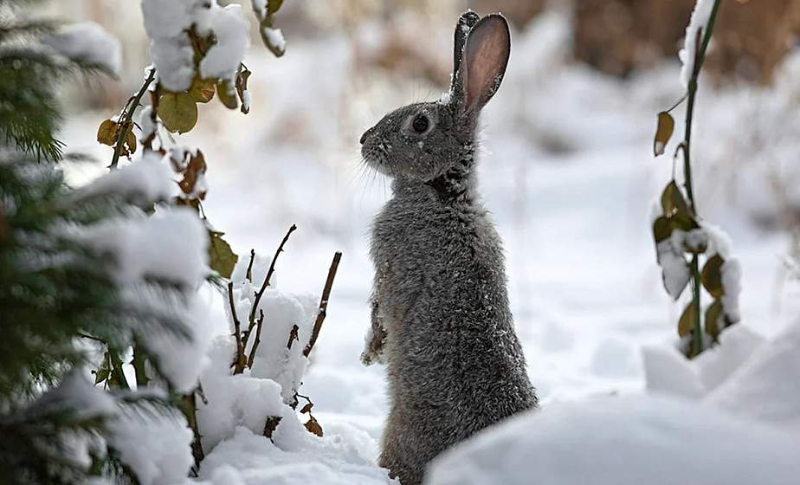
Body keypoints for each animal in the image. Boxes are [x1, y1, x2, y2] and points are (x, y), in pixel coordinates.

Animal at [360, 11, 536, 484]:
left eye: (419, 124)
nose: (363, 140)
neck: (443, 195)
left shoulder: (391, 265)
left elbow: (380, 310)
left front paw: (370, 353)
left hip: (401, 431)